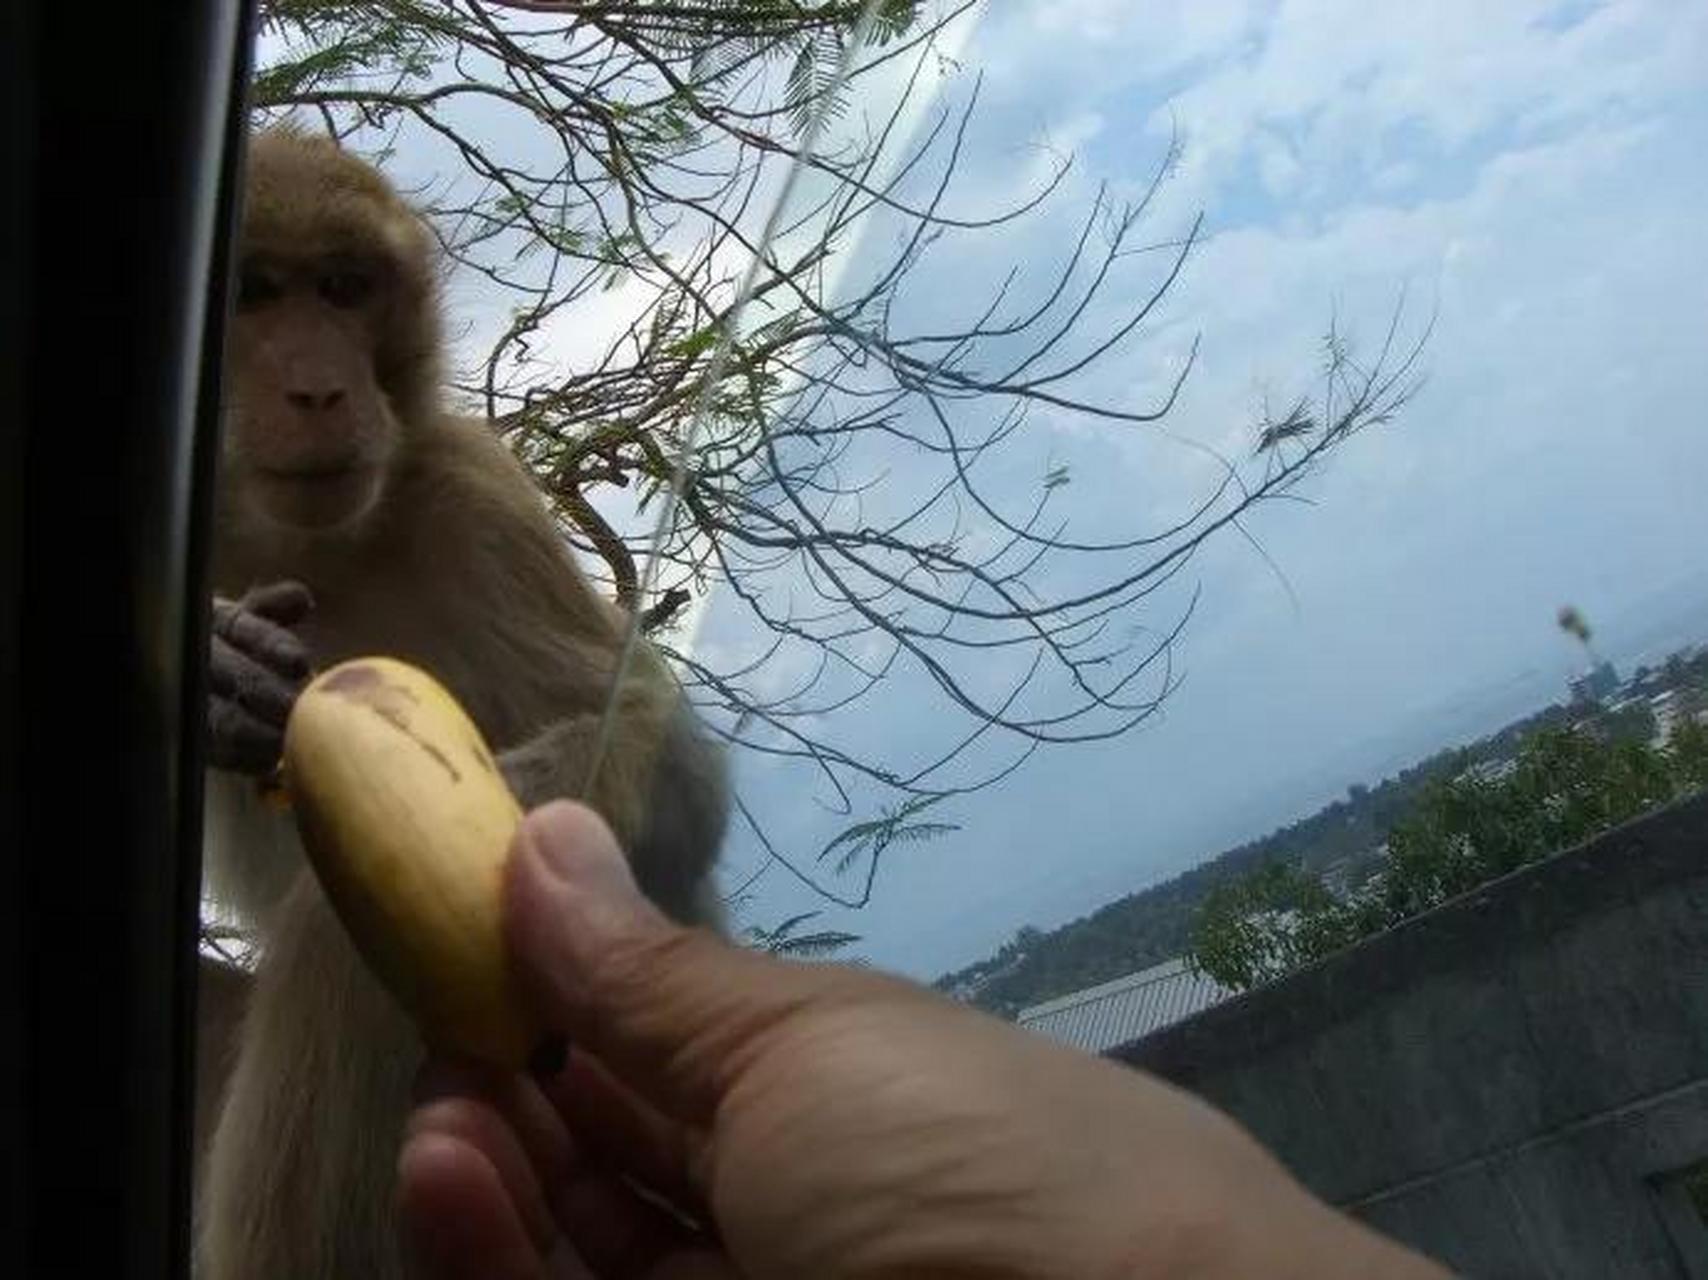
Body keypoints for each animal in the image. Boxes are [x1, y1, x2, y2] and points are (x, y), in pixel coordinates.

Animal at [193, 127, 727, 1278]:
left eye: (345, 288)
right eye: (252, 292)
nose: (319, 391)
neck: (305, 546)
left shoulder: (472, 489)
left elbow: (671, 765)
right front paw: (213, 671)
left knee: (339, 968)